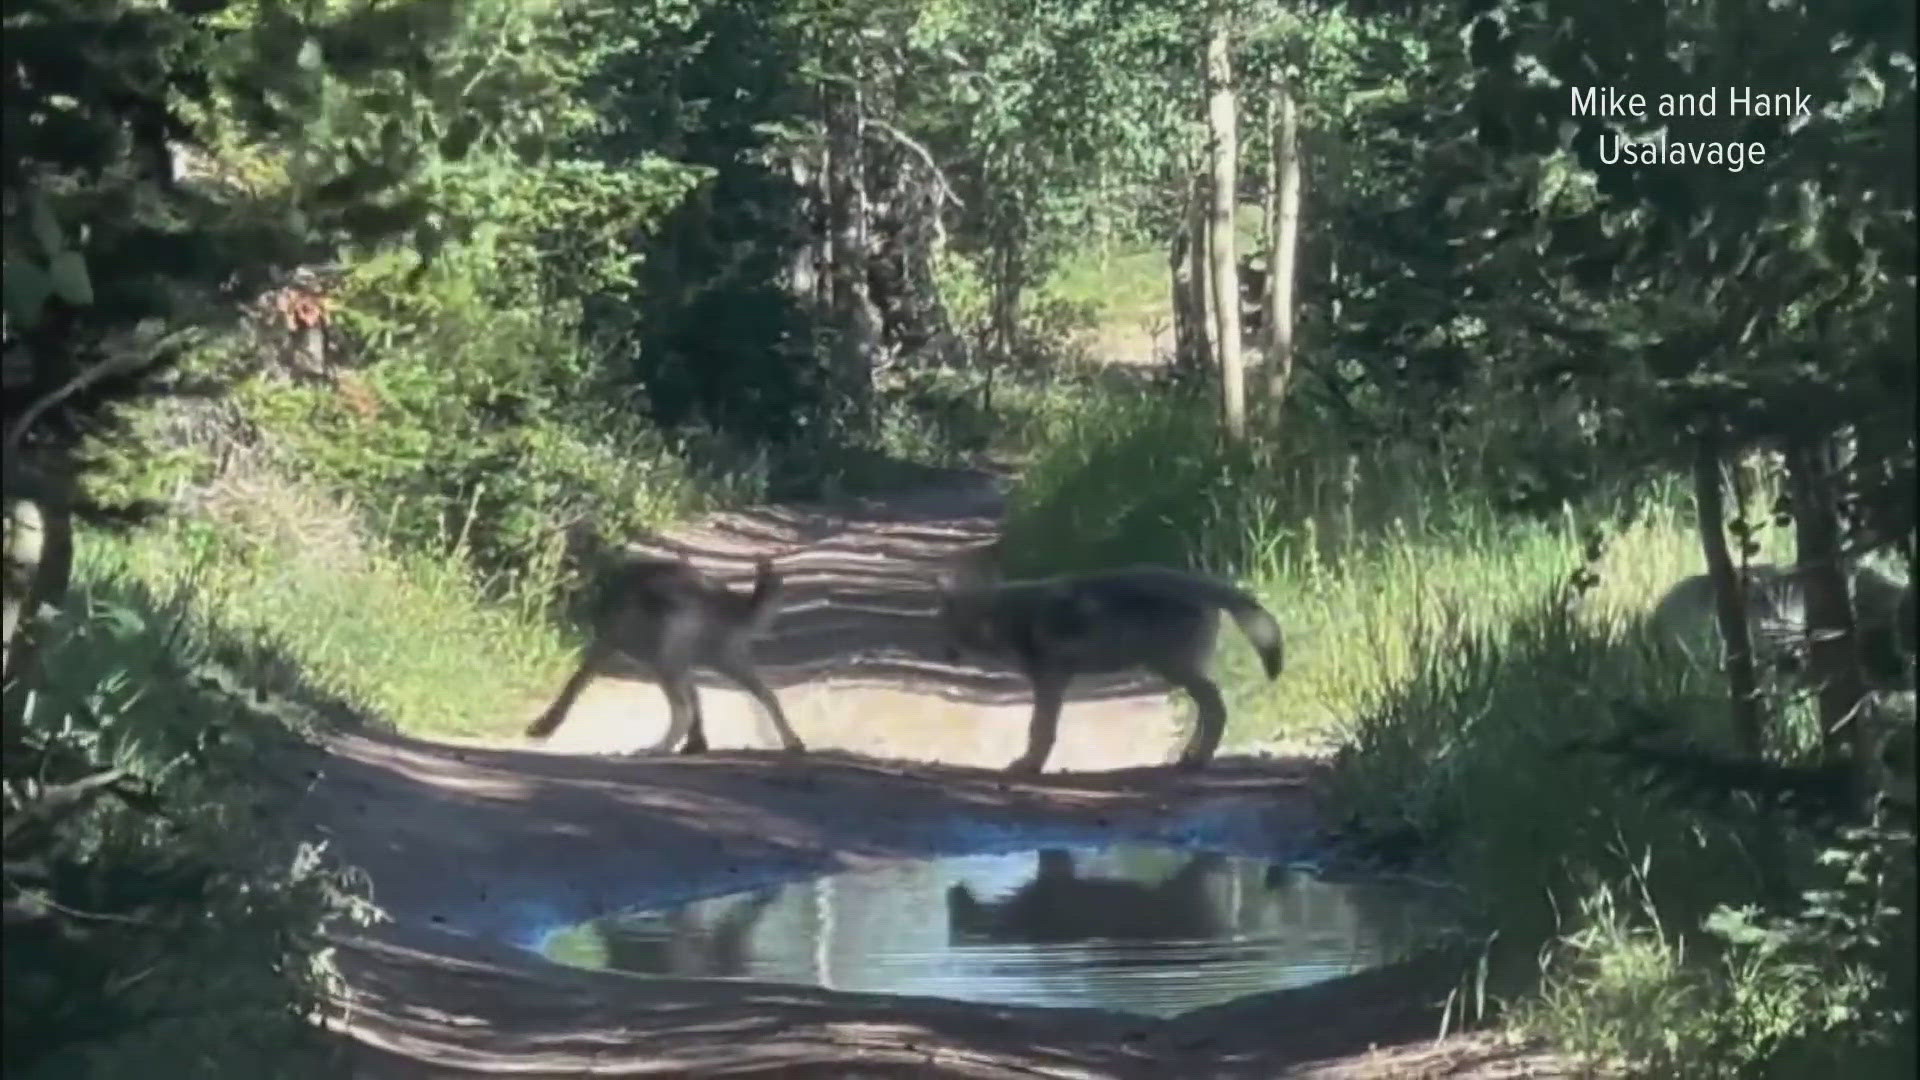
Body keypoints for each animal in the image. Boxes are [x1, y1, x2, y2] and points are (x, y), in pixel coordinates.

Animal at [518, 549, 802, 753]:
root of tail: (716, 596)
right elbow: (697, 698)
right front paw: (697, 743)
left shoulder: (607, 643)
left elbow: (574, 684)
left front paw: (543, 726)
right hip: (722, 658)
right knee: (766, 694)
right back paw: (791, 741)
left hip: (665, 658)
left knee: (683, 708)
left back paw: (657, 748)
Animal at [933, 557, 1282, 768]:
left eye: (946, 628)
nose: (941, 653)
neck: (1005, 619)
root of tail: (1202, 582)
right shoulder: (1053, 681)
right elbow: (1042, 729)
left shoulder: (1049, 680)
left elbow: (1040, 729)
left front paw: (1030, 766)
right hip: (1176, 672)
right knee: (1208, 710)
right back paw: (1189, 756)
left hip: (1175, 670)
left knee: (1216, 708)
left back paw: (1197, 759)